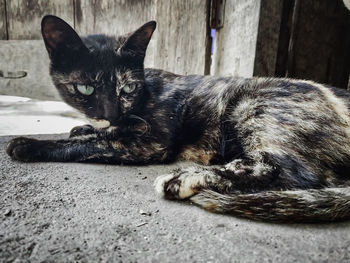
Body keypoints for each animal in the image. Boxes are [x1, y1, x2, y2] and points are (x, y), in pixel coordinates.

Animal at [4, 16, 350, 223]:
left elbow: (92, 143)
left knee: (291, 172)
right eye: (86, 88)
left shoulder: (148, 141)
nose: (111, 113)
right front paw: (82, 127)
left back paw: (184, 180)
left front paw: (29, 144)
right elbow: (93, 133)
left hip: (252, 104)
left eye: (127, 88)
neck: (144, 89)